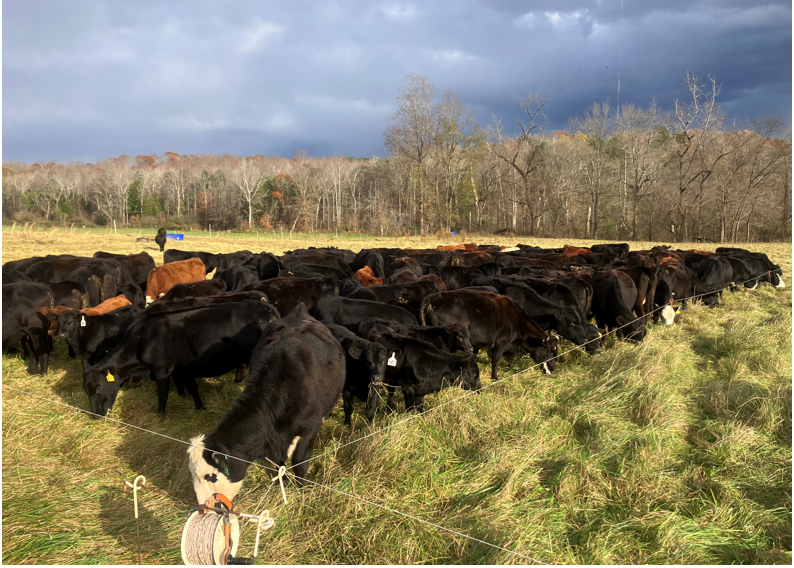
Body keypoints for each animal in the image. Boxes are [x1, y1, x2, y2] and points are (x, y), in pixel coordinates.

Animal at [82, 300, 281, 417]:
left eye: (99, 387)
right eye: (86, 391)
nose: (95, 415)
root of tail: (268, 308)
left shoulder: (161, 369)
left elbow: (162, 394)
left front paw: (160, 415)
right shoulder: (182, 367)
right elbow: (191, 388)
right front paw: (197, 405)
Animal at [186, 303, 345, 503]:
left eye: (211, 476)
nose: (203, 506)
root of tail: (299, 309)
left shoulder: (310, 428)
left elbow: (300, 463)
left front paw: (301, 491)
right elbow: (279, 464)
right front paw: (281, 481)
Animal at [421, 289, 558, 381]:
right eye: (550, 352)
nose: (554, 370)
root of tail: (432, 299)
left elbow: (510, 358)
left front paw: (513, 370)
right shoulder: (500, 343)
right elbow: (496, 361)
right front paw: (495, 378)